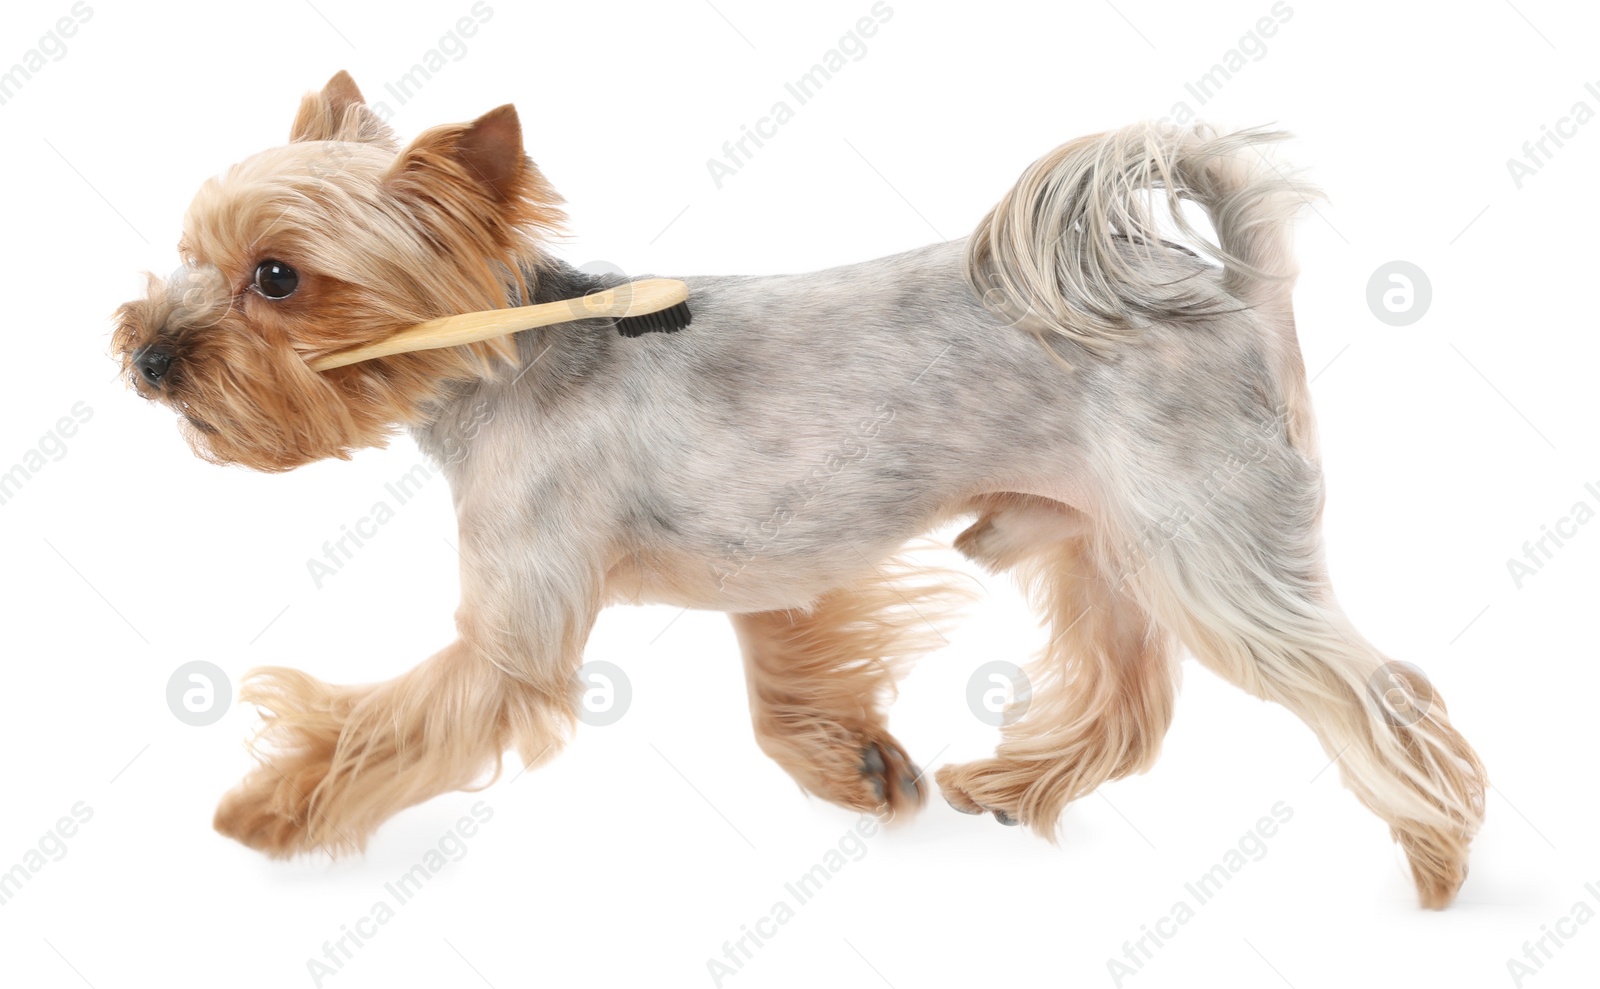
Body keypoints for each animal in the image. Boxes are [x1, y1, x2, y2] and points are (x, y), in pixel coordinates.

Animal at [109, 67, 1484, 902]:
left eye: (278, 276)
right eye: (186, 256)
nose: (146, 355)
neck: (502, 355)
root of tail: (1232, 285)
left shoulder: (515, 629)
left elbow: (392, 720)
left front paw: (273, 807)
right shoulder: (772, 566)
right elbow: (784, 690)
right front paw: (858, 767)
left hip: (1210, 544)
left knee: (1376, 692)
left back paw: (1435, 848)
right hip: (1103, 537)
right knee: (1130, 694)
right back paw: (1014, 784)